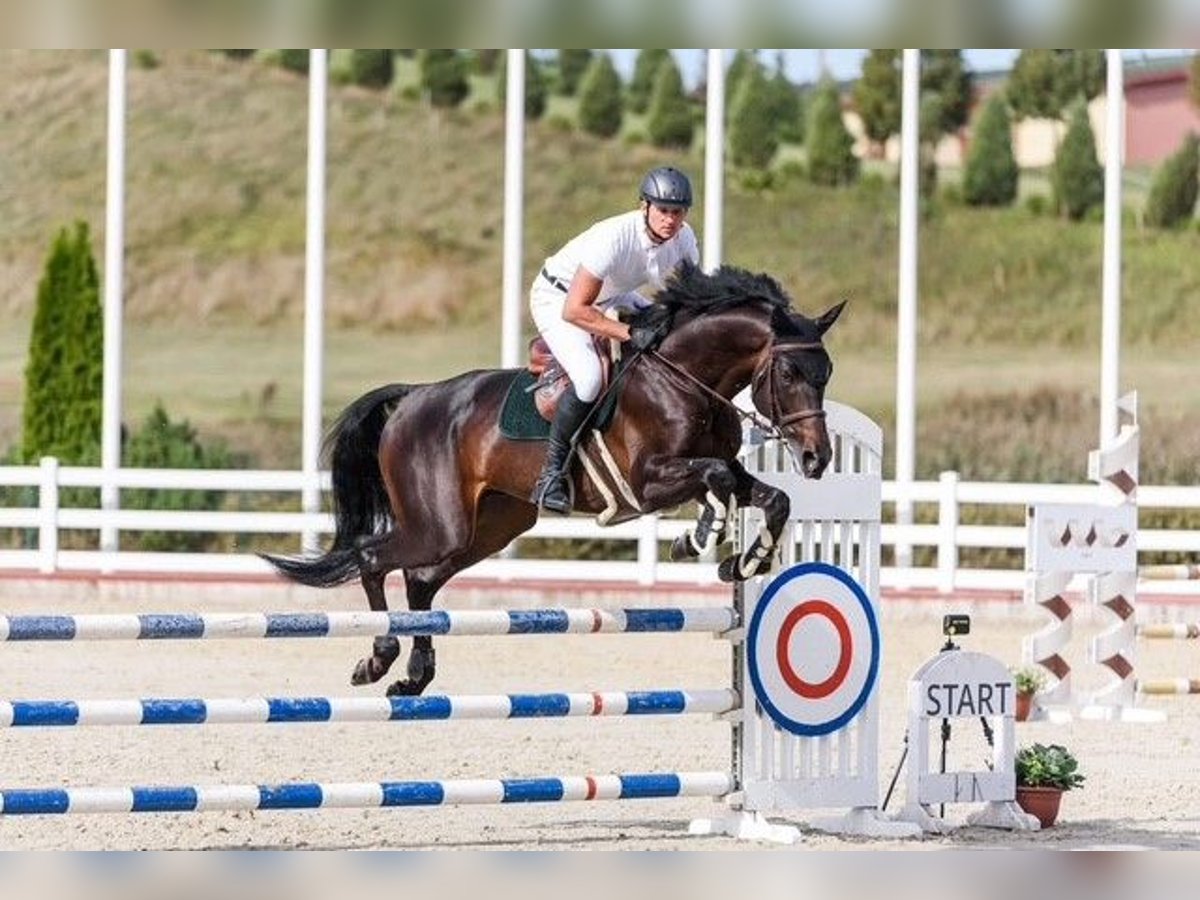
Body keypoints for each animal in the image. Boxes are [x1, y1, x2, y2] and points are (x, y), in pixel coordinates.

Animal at [262, 260, 844, 696]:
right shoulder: (648, 481)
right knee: (372, 559)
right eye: (788, 372)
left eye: (827, 375)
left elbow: (771, 497)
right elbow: (716, 477)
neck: (685, 379)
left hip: (490, 526)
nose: (817, 458)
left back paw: (414, 676)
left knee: (421, 580)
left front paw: (743, 562)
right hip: (439, 525)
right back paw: (379, 659)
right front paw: (697, 538)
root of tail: (413, 398)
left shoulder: (721, 472)